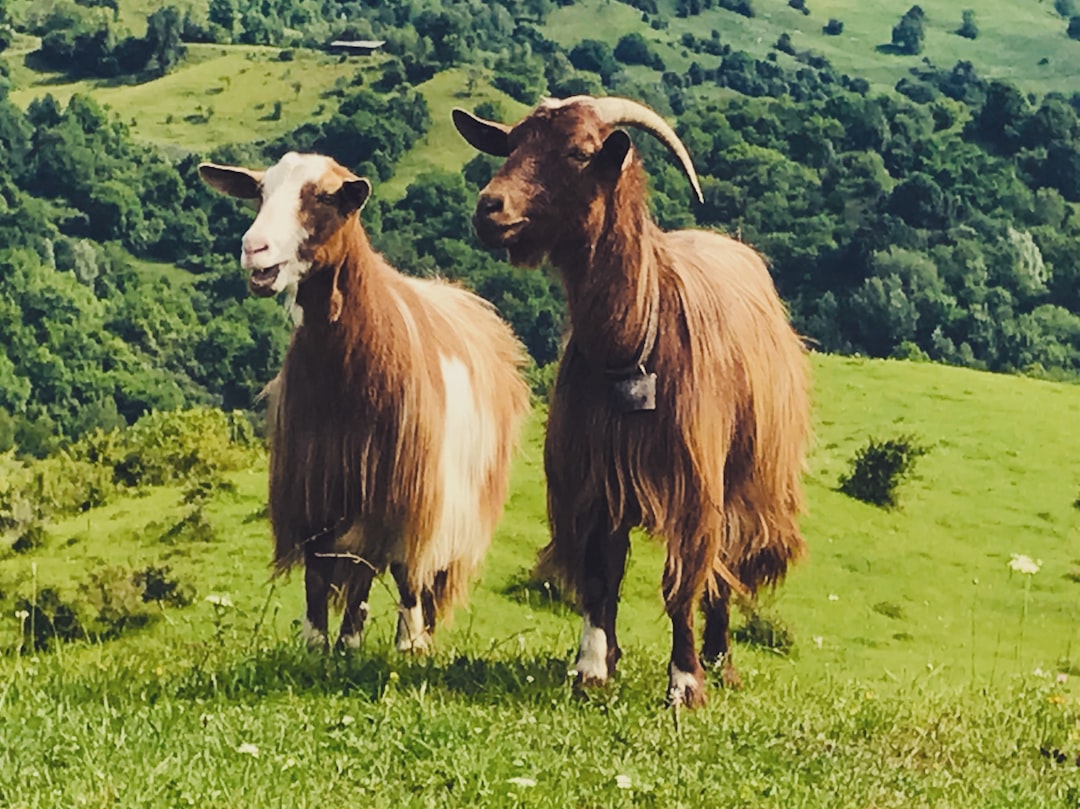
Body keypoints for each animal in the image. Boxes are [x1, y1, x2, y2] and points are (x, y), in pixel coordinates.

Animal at [201, 154, 531, 652]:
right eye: (260, 193)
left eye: (324, 196)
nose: (254, 249)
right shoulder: (317, 482)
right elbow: (320, 572)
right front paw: (322, 643)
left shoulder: (404, 488)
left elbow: (396, 569)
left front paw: (397, 643)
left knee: (417, 576)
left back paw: (414, 639)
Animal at [455, 94, 812, 704]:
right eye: (514, 143)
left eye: (579, 152)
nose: (490, 208)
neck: (633, 343)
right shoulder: (596, 478)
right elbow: (602, 576)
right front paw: (592, 666)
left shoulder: (695, 482)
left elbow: (684, 582)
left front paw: (686, 684)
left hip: (746, 474)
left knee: (724, 566)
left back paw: (721, 661)